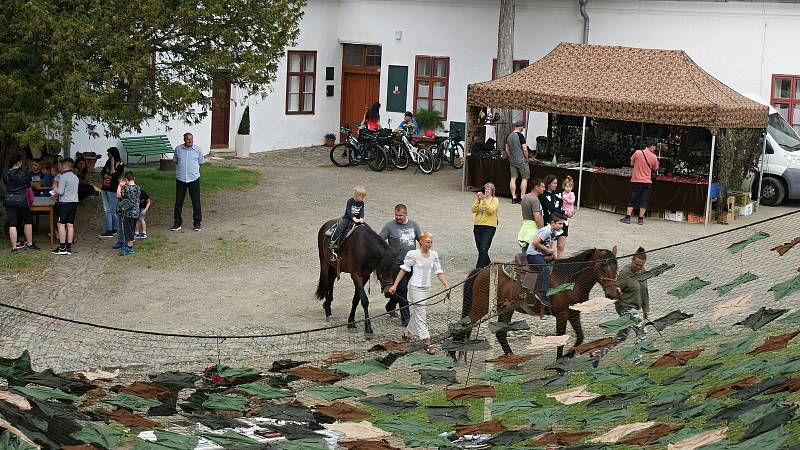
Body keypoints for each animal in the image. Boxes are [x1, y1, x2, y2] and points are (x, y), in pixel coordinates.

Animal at [456, 246, 620, 358]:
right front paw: (559, 362)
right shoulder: (561, 314)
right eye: (602, 266)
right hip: (481, 307)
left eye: (616, 267)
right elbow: (560, 337)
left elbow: (580, 336)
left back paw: (512, 358)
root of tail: (481, 270)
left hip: (506, 308)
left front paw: (569, 355)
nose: (613, 293)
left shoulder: (574, 312)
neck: (570, 280)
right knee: (464, 325)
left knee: (500, 334)